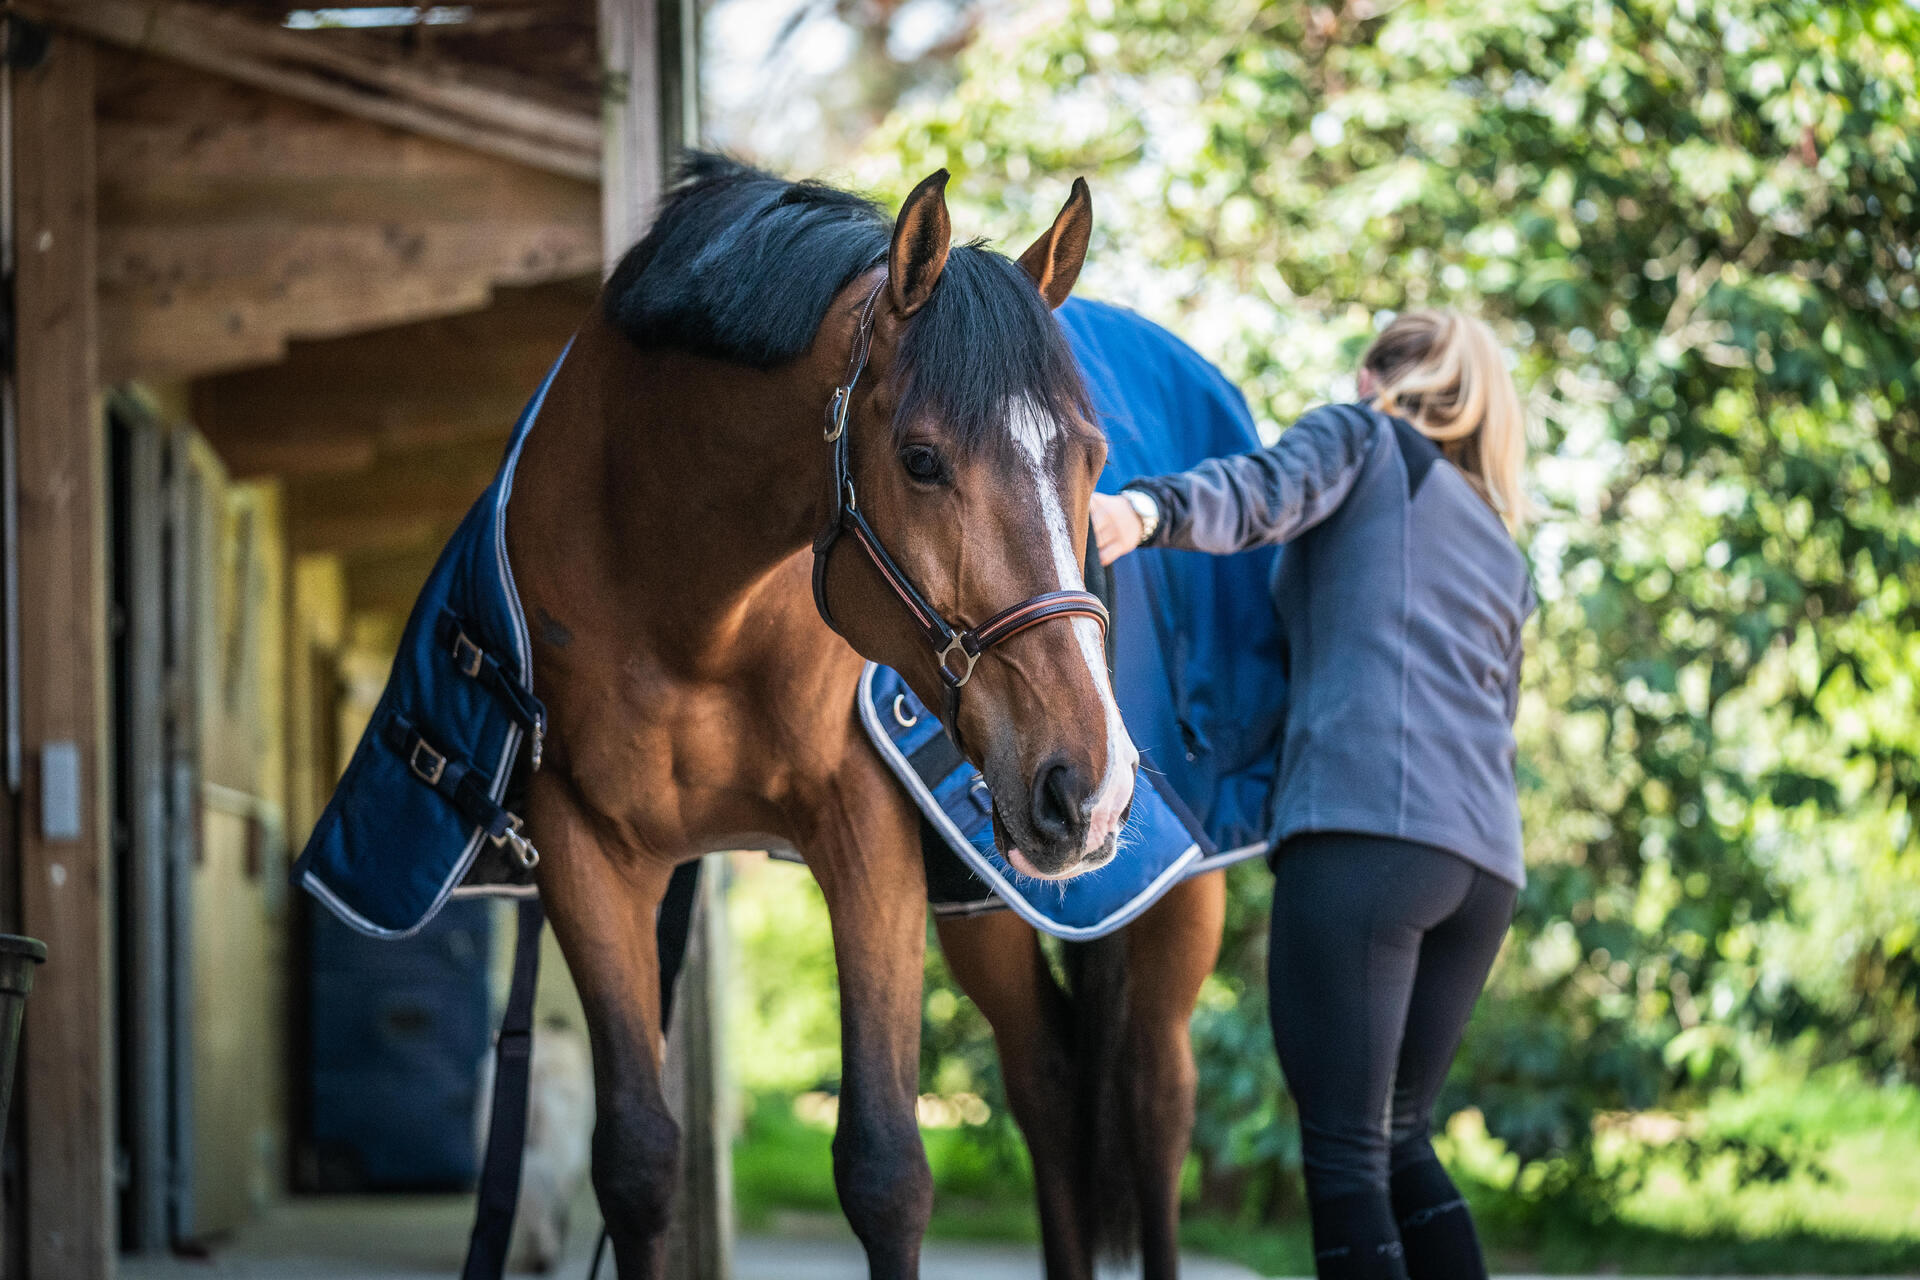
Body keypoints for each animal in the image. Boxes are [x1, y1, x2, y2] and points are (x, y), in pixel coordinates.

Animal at [503, 155, 1144, 1274]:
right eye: (922, 460)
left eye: (1093, 458)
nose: (1091, 787)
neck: (686, 615)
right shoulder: (583, 846)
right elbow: (635, 1160)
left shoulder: (866, 832)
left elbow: (886, 1167)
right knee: (1052, 1086)